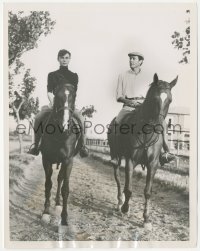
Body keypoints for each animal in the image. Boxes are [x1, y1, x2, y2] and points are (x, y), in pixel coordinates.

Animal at [39, 84, 81, 227]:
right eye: (57, 97)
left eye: (74, 97)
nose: (65, 125)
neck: (60, 134)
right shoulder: (46, 159)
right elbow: (48, 184)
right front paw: (46, 213)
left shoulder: (68, 161)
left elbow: (65, 189)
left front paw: (64, 218)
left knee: (60, 179)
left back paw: (58, 204)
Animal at [108, 73, 177, 229]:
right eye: (155, 99)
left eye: (170, 100)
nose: (160, 127)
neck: (146, 132)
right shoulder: (130, 161)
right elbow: (128, 189)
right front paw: (125, 209)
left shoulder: (153, 164)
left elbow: (147, 192)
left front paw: (146, 219)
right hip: (116, 158)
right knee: (118, 179)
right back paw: (119, 203)